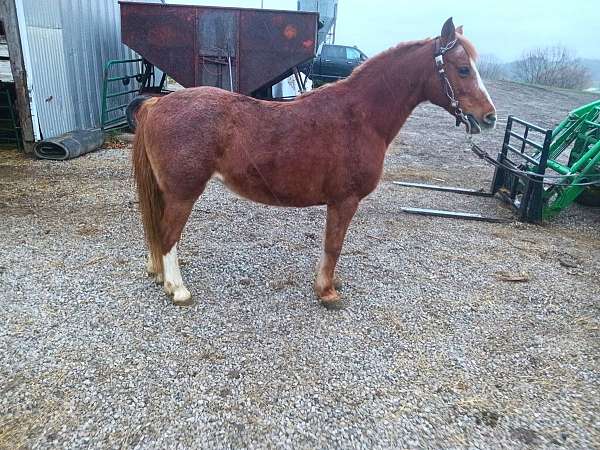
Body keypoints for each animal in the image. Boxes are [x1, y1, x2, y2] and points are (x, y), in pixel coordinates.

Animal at [131, 17, 496, 306]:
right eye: (463, 69)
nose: (489, 117)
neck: (359, 117)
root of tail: (156, 105)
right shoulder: (344, 200)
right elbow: (334, 245)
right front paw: (327, 291)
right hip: (183, 192)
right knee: (169, 234)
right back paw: (177, 289)